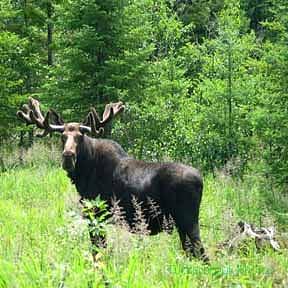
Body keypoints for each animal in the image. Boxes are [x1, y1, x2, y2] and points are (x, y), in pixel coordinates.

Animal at [16, 97, 208, 264]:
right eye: (62, 137)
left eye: (80, 137)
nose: (68, 157)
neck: (84, 173)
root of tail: (201, 181)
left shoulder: (95, 214)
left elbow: (97, 250)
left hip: (188, 221)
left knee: (203, 255)